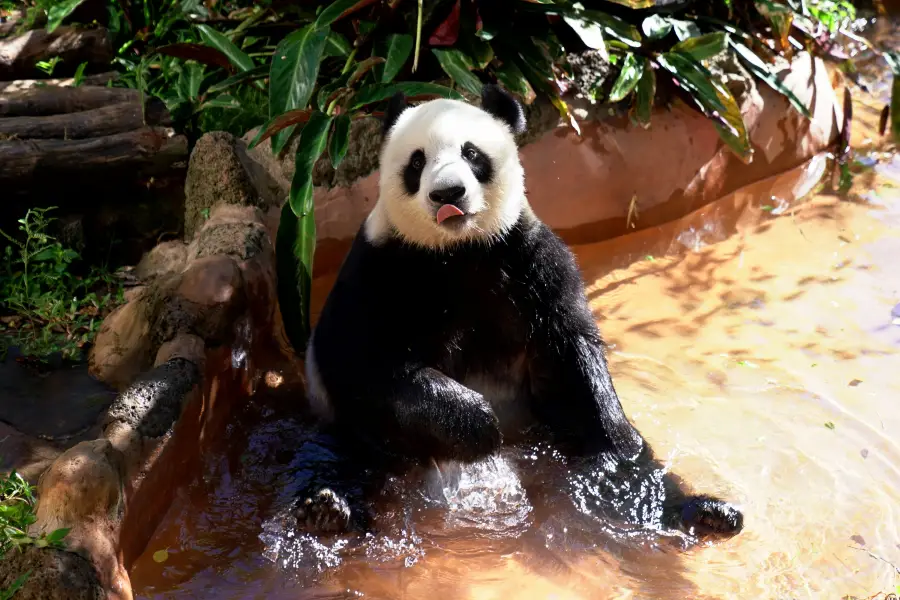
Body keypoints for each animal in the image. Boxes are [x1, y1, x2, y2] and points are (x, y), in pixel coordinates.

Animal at [298, 83, 740, 540]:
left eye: (472, 153)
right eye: (417, 162)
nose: (448, 194)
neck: (457, 251)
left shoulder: (527, 260)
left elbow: (573, 362)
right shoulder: (380, 271)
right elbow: (367, 365)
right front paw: (476, 426)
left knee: (629, 468)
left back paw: (701, 512)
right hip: (347, 432)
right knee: (338, 458)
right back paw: (330, 511)